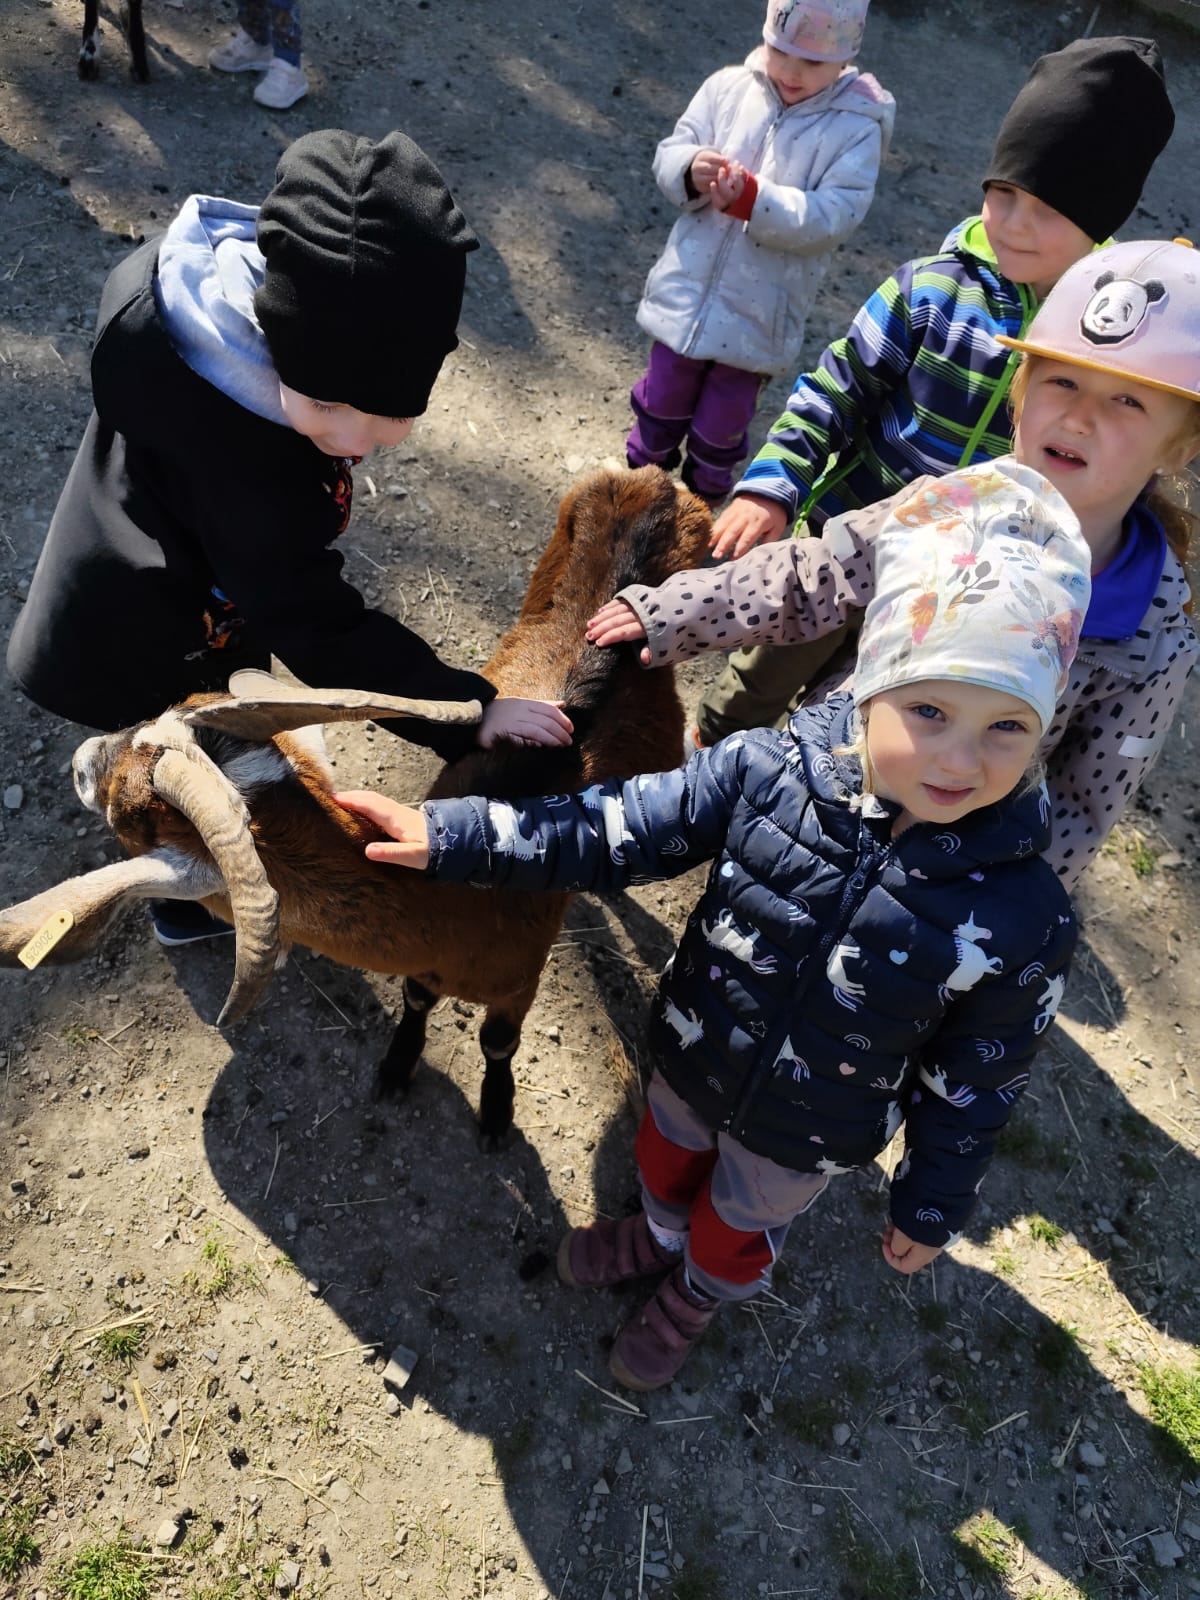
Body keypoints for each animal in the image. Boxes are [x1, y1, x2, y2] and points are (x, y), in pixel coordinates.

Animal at [0, 466, 710, 1146]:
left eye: (127, 815)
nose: (82, 759)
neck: (465, 897)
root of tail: (652, 480)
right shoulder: (430, 964)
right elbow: (418, 998)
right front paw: (397, 1067)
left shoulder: (520, 980)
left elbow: (497, 1043)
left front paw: (495, 1113)